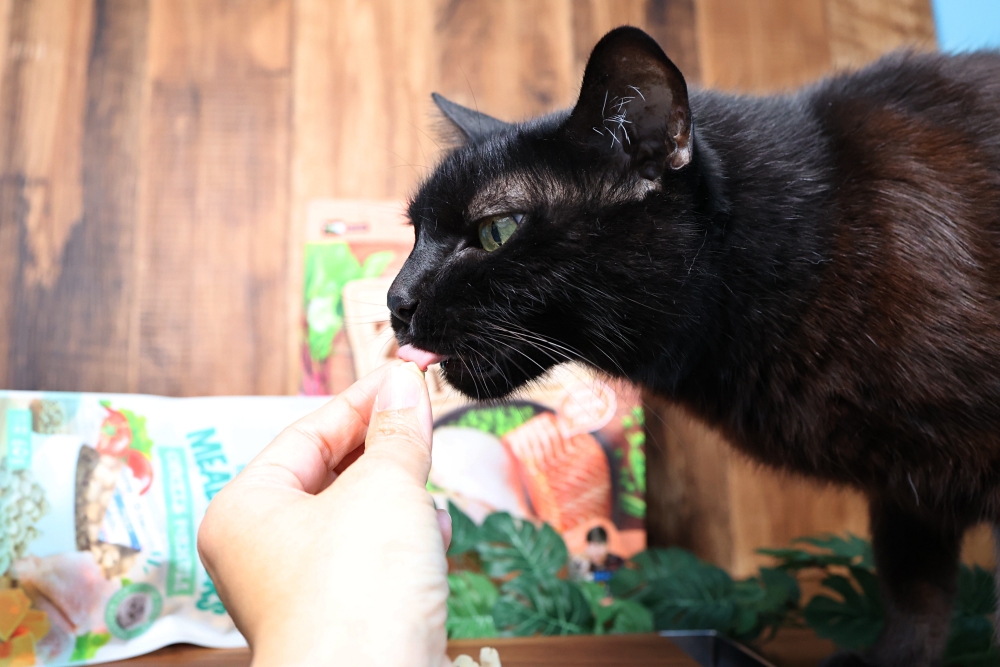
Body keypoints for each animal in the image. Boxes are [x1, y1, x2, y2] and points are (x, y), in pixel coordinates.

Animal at [388, 26, 1000, 667]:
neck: (815, 239)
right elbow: (914, 591)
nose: (395, 302)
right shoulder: (904, 490)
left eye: (496, 231)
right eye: (415, 232)